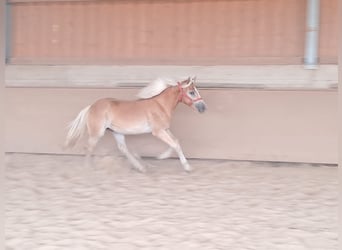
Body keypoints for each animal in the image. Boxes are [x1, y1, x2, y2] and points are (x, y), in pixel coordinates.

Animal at [65, 75, 207, 172]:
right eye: (192, 92)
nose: (203, 108)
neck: (160, 105)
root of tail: (91, 107)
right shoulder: (158, 131)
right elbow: (175, 144)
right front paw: (187, 167)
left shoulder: (165, 129)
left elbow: (175, 142)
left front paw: (162, 156)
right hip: (97, 133)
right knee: (88, 148)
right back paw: (87, 169)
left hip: (117, 132)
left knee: (123, 149)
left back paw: (140, 167)